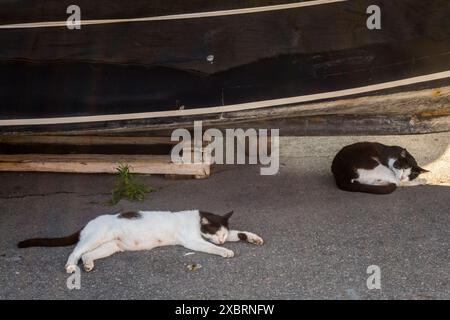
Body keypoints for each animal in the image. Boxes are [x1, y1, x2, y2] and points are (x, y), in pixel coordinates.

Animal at [18, 210, 264, 272]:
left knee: (86, 255)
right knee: (75, 252)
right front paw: (224, 252)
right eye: (216, 234)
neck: (196, 220)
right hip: (95, 237)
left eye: (223, 234)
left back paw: (87, 265)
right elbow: (209, 247)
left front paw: (254, 238)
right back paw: (71, 267)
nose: (222, 241)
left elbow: (240, 233)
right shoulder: (193, 241)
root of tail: (89, 221)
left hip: (110, 246)